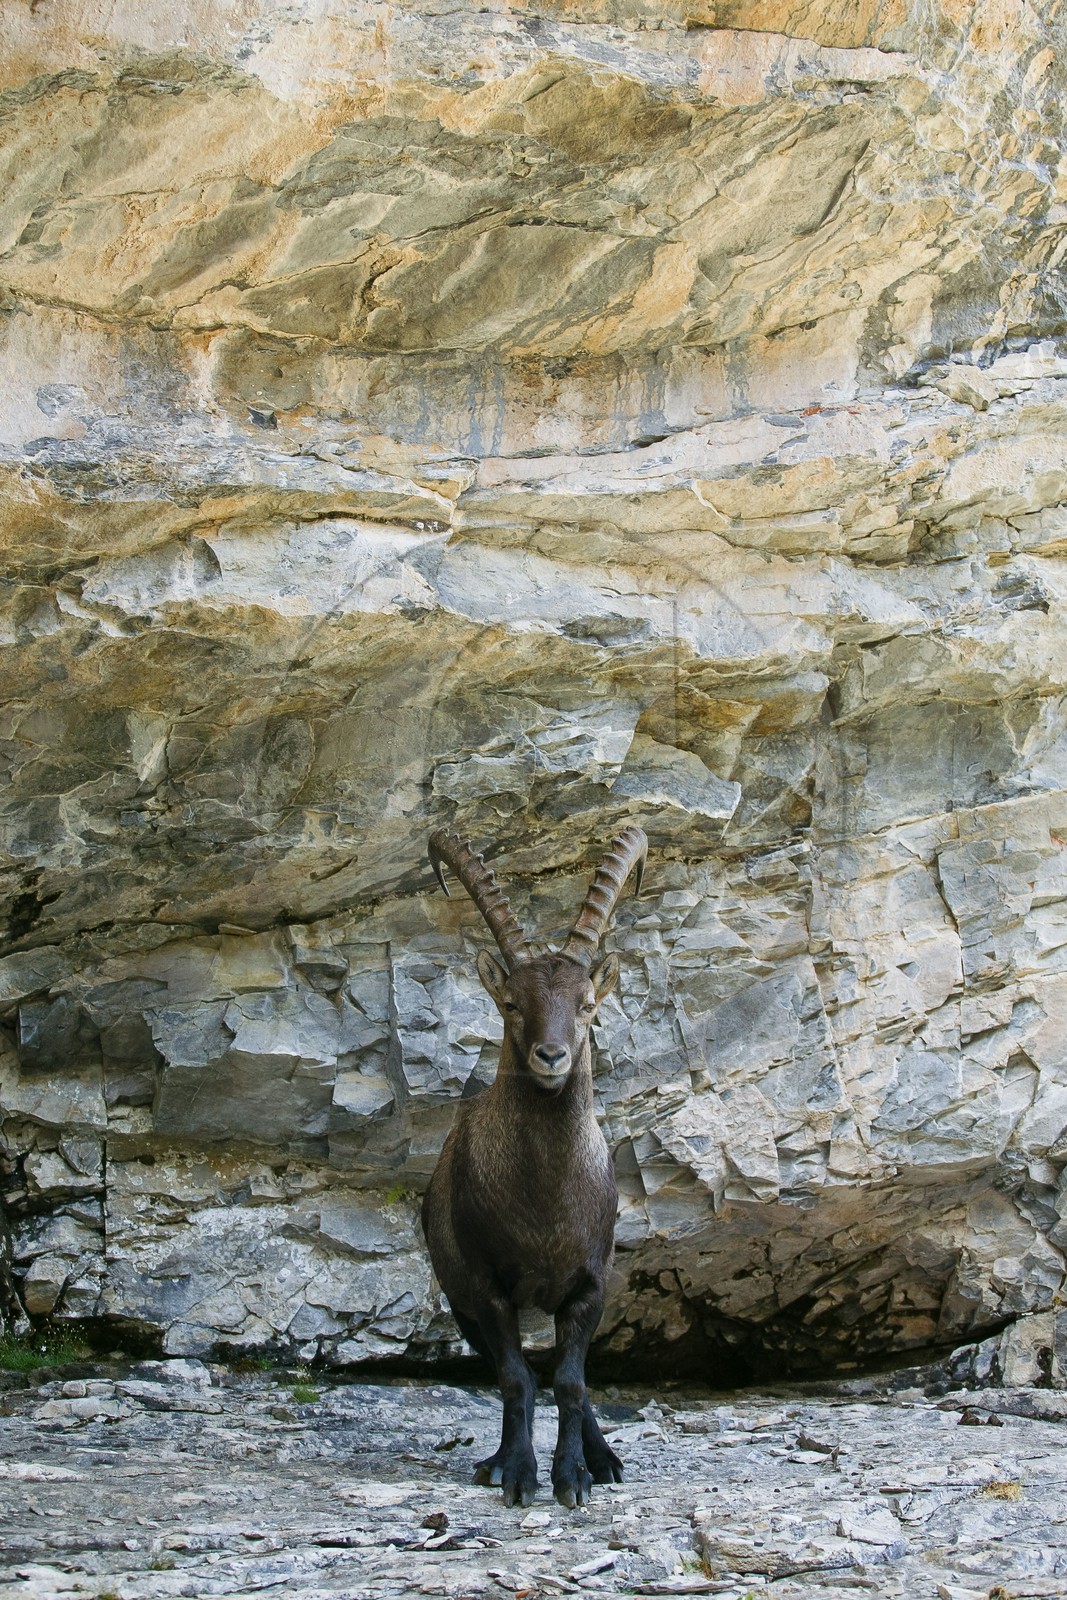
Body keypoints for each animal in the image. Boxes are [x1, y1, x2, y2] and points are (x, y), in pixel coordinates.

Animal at [421, 825, 647, 1508]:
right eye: (512, 1004)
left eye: (587, 1003)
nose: (552, 1056)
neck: (545, 1201)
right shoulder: (486, 1289)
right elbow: (517, 1379)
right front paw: (519, 1474)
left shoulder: (591, 1285)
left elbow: (572, 1382)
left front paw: (573, 1475)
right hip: (461, 1302)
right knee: (514, 1374)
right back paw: (499, 1459)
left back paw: (602, 1458)